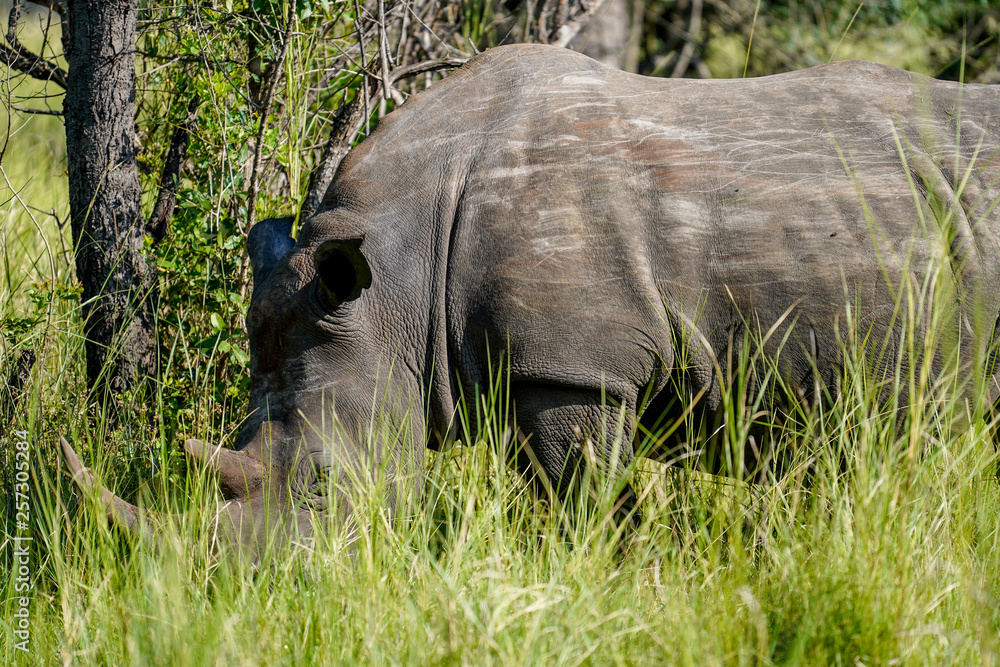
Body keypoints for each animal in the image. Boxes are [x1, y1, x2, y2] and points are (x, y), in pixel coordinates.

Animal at [62, 44, 1000, 557]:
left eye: (324, 488)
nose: (251, 588)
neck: (398, 282)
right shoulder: (517, 367)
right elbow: (554, 491)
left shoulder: (574, 367)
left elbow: (583, 501)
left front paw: (600, 579)